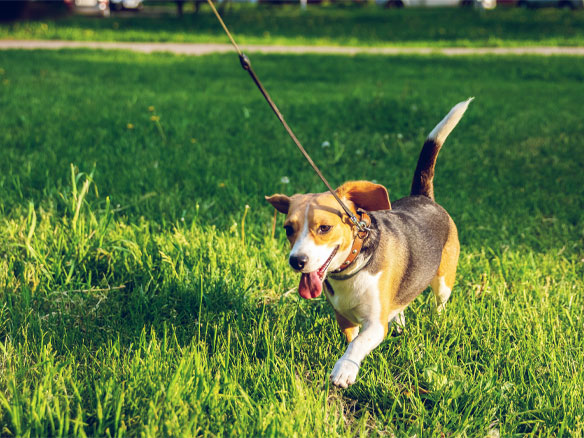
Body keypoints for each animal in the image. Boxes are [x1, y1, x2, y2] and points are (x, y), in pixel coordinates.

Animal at [266, 98, 472, 386]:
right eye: (288, 229)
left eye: (325, 227)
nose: (297, 261)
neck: (352, 267)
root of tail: (422, 197)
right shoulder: (343, 317)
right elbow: (352, 338)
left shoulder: (375, 324)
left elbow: (358, 344)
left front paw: (345, 369)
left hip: (444, 280)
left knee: (439, 303)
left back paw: (437, 322)